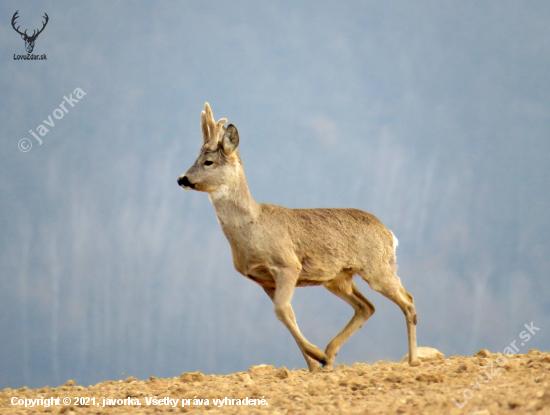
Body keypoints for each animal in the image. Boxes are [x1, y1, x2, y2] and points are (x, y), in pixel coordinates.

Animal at [179, 103, 420, 370]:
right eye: (196, 159)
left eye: (208, 162)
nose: (182, 179)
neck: (252, 227)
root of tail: (389, 233)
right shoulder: (265, 280)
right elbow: (288, 315)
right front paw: (314, 364)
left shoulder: (287, 264)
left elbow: (282, 311)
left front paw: (316, 355)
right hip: (337, 278)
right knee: (367, 307)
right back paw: (330, 354)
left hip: (376, 266)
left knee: (408, 301)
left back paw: (412, 360)